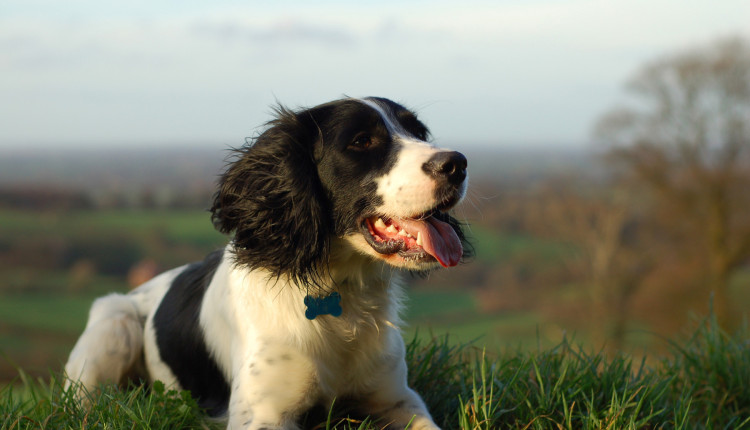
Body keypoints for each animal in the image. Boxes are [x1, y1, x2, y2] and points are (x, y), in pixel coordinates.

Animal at [64, 97, 470, 430]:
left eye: (419, 132)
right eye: (361, 141)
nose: (458, 164)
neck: (341, 292)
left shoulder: (398, 400)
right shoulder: (263, 416)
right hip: (114, 323)